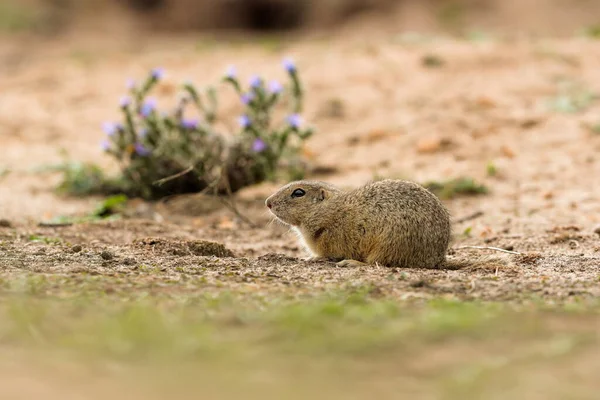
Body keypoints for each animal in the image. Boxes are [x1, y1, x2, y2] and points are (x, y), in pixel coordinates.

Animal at [266, 179, 450, 268]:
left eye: (298, 193)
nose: (268, 202)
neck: (330, 213)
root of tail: (436, 259)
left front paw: (312, 258)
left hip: (387, 244)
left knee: (375, 263)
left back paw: (350, 263)